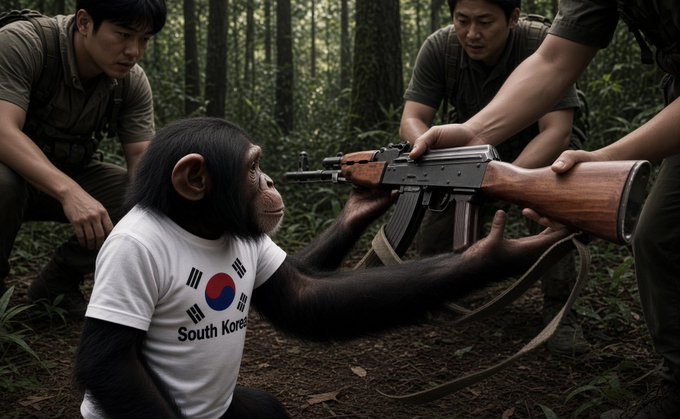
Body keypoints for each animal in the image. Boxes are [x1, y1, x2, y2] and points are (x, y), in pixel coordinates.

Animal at [73, 117, 569, 418]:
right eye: (253, 168)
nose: (274, 180)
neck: (192, 226)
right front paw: (489, 253)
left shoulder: (444, 192)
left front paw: (484, 253)